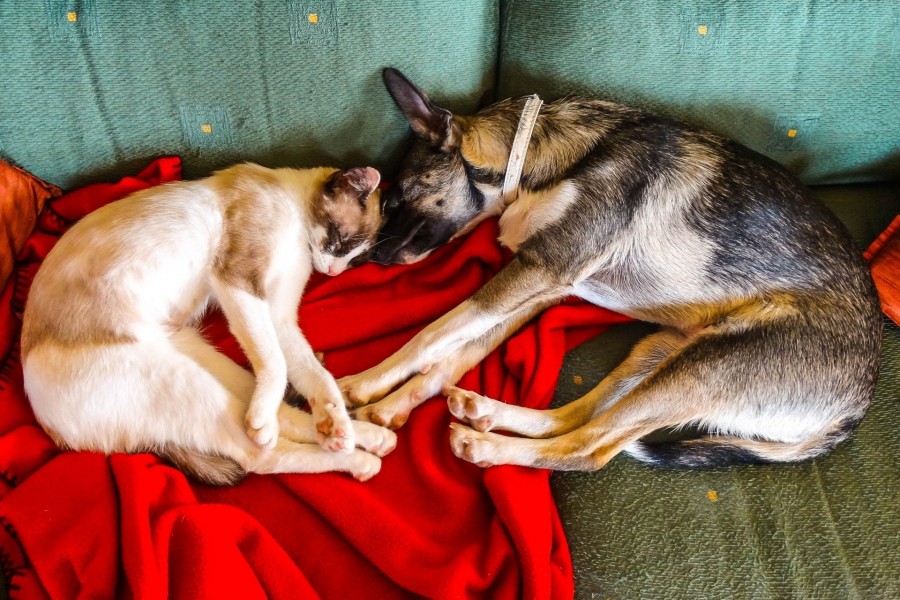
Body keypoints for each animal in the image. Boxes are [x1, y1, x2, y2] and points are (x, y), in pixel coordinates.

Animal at [18, 162, 394, 486]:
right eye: (340, 241)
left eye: (355, 260)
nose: (332, 272)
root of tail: (56, 435)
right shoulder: (238, 280)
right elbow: (277, 365)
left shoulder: (279, 317)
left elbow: (314, 375)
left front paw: (333, 422)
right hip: (180, 380)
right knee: (262, 456)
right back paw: (354, 459)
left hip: (198, 358)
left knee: (279, 414)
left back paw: (362, 437)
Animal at [338, 69, 880, 474]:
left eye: (394, 198)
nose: (368, 259)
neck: (536, 157)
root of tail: (853, 412)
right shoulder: (540, 288)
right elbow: (452, 354)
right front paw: (392, 404)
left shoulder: (536, 272)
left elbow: (432, 335)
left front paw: (362, 383)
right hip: (657, 352)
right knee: (576, 417)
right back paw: (485, 411)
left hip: (701, 367)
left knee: (590, 447)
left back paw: (488, 446)